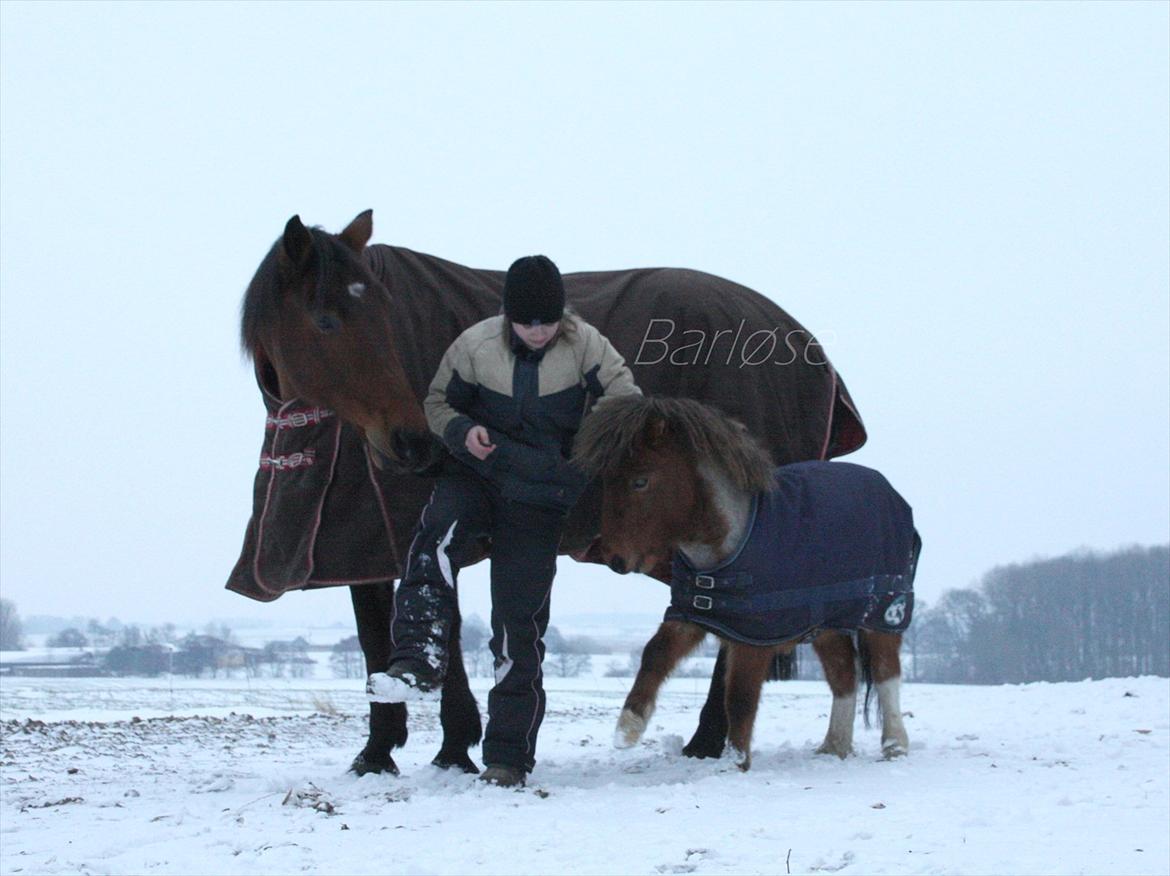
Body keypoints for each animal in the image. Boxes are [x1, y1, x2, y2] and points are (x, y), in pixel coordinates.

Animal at [228, 210, 870, 771]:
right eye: (325, 320)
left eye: (386, 318)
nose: (413, 444)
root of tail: (806, 346)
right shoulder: (363, 550)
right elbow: (376, 635)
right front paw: (383, 750)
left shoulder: (397, 532)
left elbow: (438, 633)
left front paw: (448, 747)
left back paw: (709, 742)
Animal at [570, 392, 917, 767]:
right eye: (605, 479)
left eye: (640, 481)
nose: (615, 559)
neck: (730, 541)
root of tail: (892, 494)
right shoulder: (690, 616)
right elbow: (654, 655)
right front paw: (628, 728)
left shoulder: (754, 636)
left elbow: (739, 697)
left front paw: (736, 761)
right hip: (827, 624)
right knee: (844, 676)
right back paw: (834, 747)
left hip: (884, 612)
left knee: (885, 672)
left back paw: (895, 746)